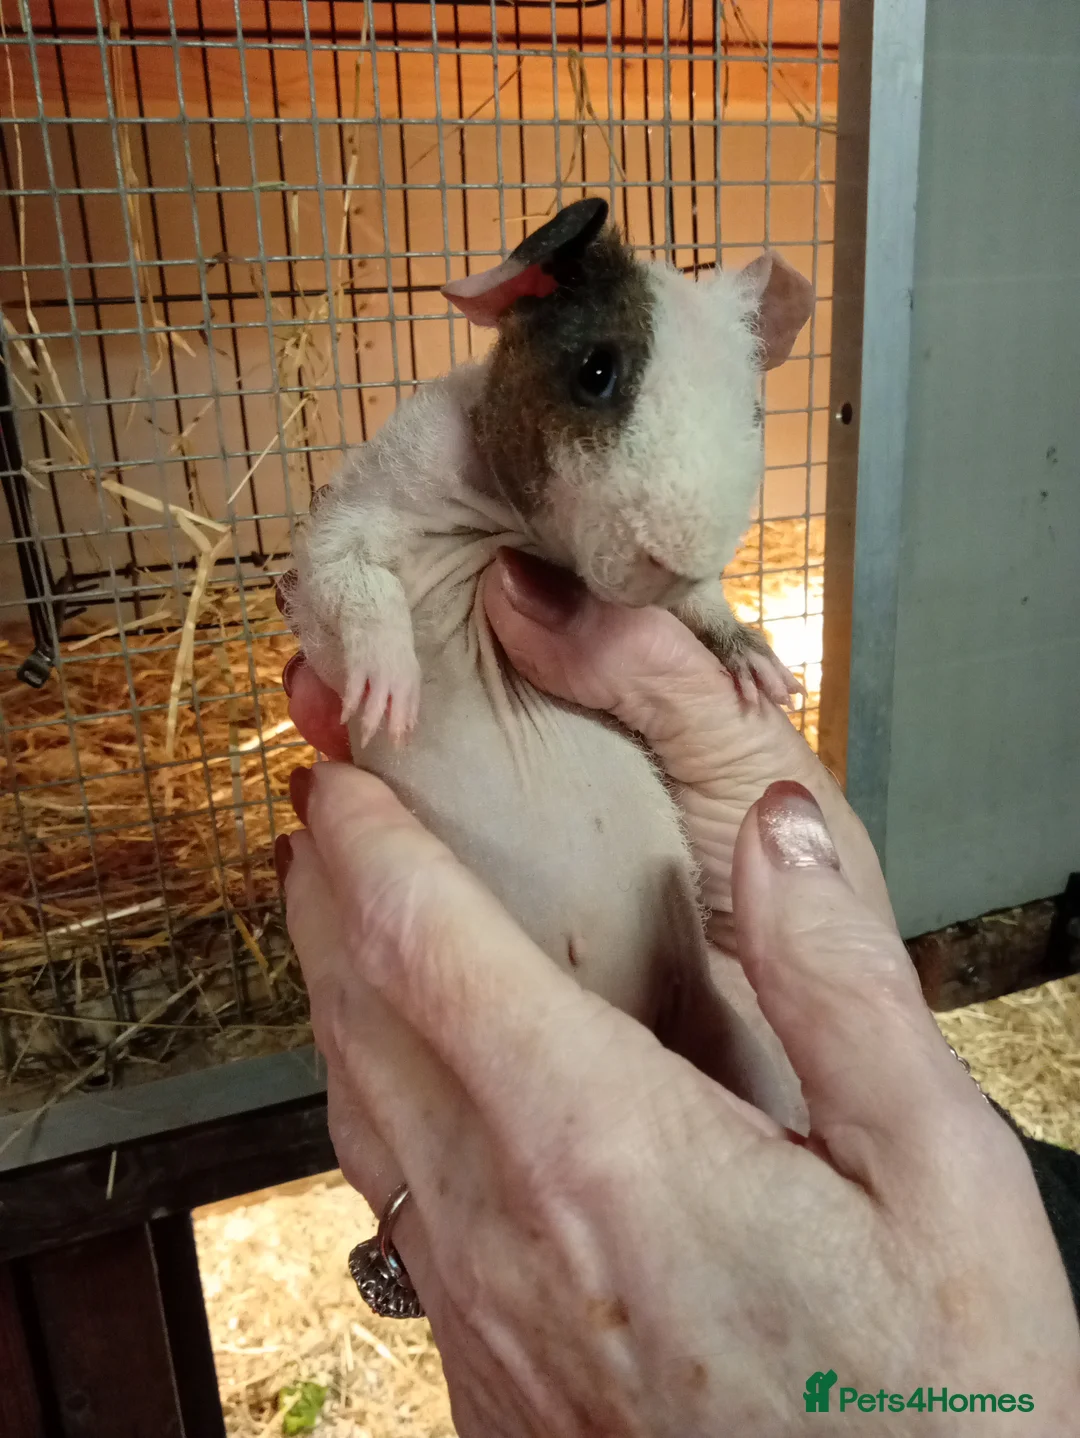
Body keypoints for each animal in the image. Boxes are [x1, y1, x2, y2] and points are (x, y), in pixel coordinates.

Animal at [286, 198, 813, 1116]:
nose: (678, 559)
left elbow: (701, 615)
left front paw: (755, 662)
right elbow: (344, 573)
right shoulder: (378, 493)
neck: (506, 526)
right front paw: (387, 686)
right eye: (597, 371)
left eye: (752, 411)